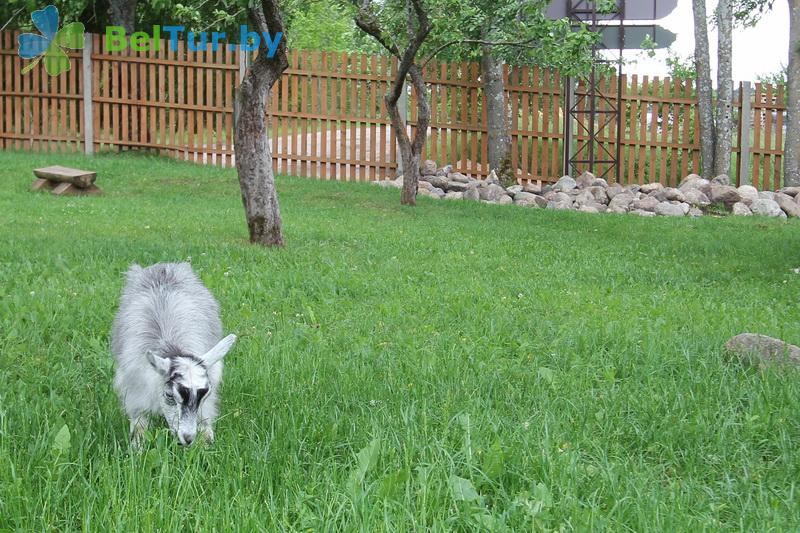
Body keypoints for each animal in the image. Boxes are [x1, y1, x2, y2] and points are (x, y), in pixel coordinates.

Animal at [112, 262, 238, 444]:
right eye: (169, 395)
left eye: (205, 394)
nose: (187, 438)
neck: (171, 347)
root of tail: (163, 266)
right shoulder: (135, 389)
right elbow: (139, 425)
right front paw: (138, 445)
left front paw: (206, 440)